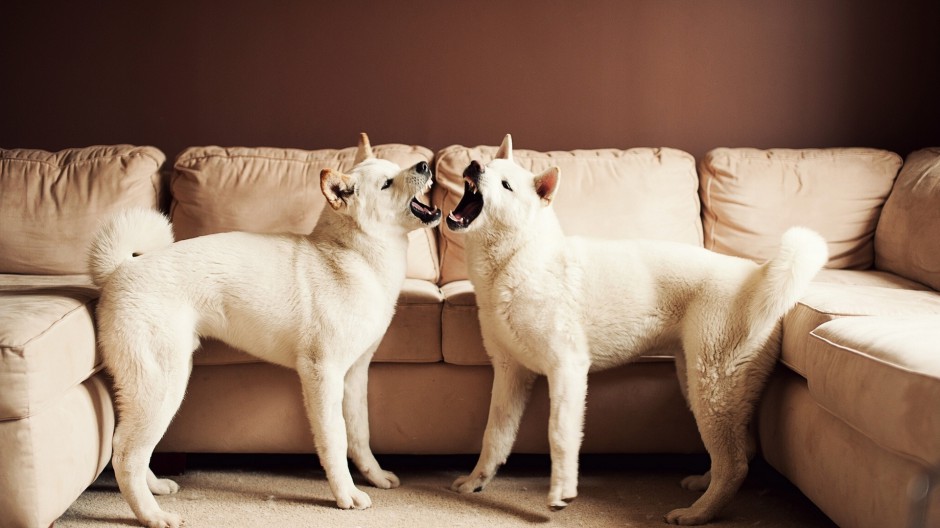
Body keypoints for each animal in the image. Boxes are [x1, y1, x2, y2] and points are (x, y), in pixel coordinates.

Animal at [88, 135, 440, 528]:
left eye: (396, 169)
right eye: (387, 184)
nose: (425, 165)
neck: (351, 257)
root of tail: (119, 269)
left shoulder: (355, 375)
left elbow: (360, 435)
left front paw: (375, 477)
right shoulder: (322, 374)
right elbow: (335, 441)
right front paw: (345, 495)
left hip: (149, 389)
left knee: (127, 446)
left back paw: (155, 490)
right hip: (163, 385)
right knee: (126, 454)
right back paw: (152, 515)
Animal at [446, 135, 824, 524]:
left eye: (506, 185)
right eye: (488, 165)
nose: (474, 165)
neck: (517, 258)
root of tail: (757, 275)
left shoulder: (567, 369)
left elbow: (560, 435)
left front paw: (561, 493)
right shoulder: (510, 373)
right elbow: (495, 435)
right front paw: (477, 482)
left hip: (712, 388)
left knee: (734, 464)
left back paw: (697, 514)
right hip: (704, 386)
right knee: (741, 452)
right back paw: (703, 486)